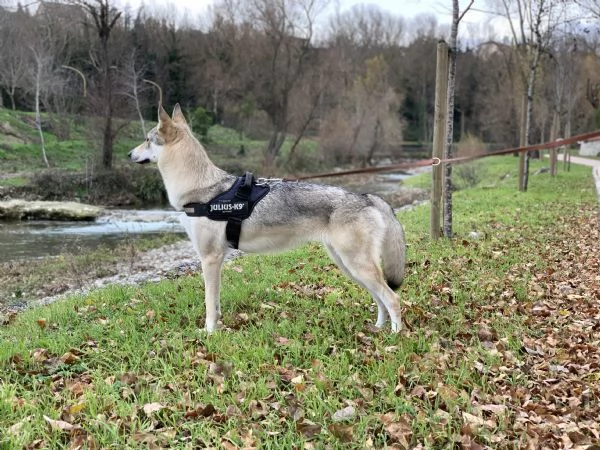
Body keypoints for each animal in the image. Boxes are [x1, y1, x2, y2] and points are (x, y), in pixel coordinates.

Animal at [128, 103, 406, 332]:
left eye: (146, 140)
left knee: (393, 298)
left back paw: (394, 338)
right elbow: (215, 303)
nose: (129, 155)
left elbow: (209, 304)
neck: (203, 188)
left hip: (357, 266)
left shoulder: (210, 259)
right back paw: (378, 329)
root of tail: (366, 196)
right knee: (381, 299)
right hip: (350, 267)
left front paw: (209, 334)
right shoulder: (216, 260)